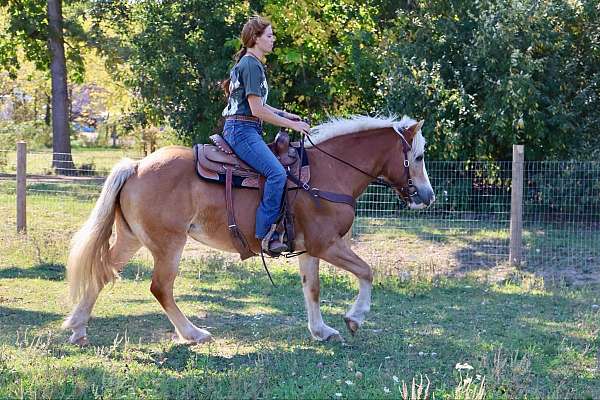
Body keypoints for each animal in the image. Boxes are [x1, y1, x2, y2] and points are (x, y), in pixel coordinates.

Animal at [62, 115, 436, 344]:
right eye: (417, 157)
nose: (428, 196)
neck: (329, 173)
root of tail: (137, 166)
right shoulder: (327, 244)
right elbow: (367, 271)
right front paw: (355, 318)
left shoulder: (309, 249)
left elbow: (312, 289)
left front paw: (321, 330)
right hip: (168, 245)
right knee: (160, 288)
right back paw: (193, 334)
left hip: (132, 239)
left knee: (102, 272)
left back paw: (78, 329)